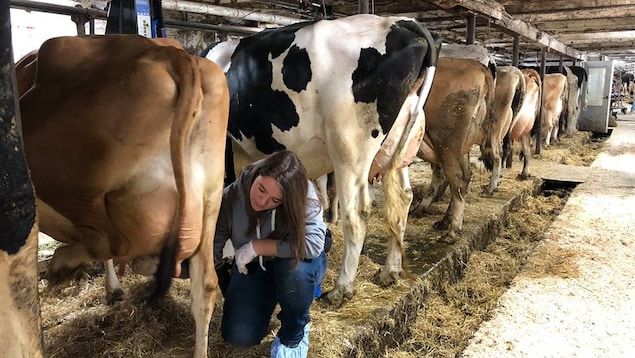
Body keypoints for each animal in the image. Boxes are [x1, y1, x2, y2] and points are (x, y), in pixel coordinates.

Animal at [16, 34, 231, 358]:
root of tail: (173, 56)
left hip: (67, 181)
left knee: (112, 242)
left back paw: (62, 264)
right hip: (208, 198)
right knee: (204, 285)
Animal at [206, 13, 440, 304]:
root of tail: (400, 21)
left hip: (348, 147)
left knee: (357, 213)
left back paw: (341, 289)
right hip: (397, 148)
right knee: (402, 199)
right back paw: (390, 271)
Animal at [412, 55, 496, 241]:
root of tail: (478, 66)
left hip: (447, 140)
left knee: (457, 178)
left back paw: (452, 230)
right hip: (461, 144)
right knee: (463, 176)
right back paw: (444, 221)